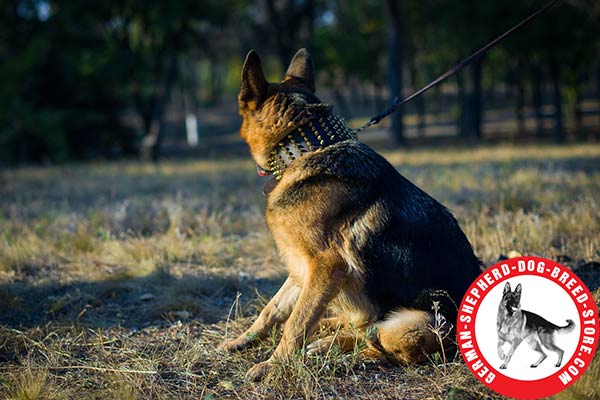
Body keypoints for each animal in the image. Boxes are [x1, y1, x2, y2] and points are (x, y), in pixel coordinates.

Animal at [220, 48, 482, 380]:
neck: (306, 148)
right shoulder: (301, 268)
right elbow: (274, 310)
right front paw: (243, 341)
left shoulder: (326, 267)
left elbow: (296, 323)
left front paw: (272, 365)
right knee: (361, 326)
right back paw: (327, 332)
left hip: (417, 324)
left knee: (376, 340)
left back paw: (331, 347)